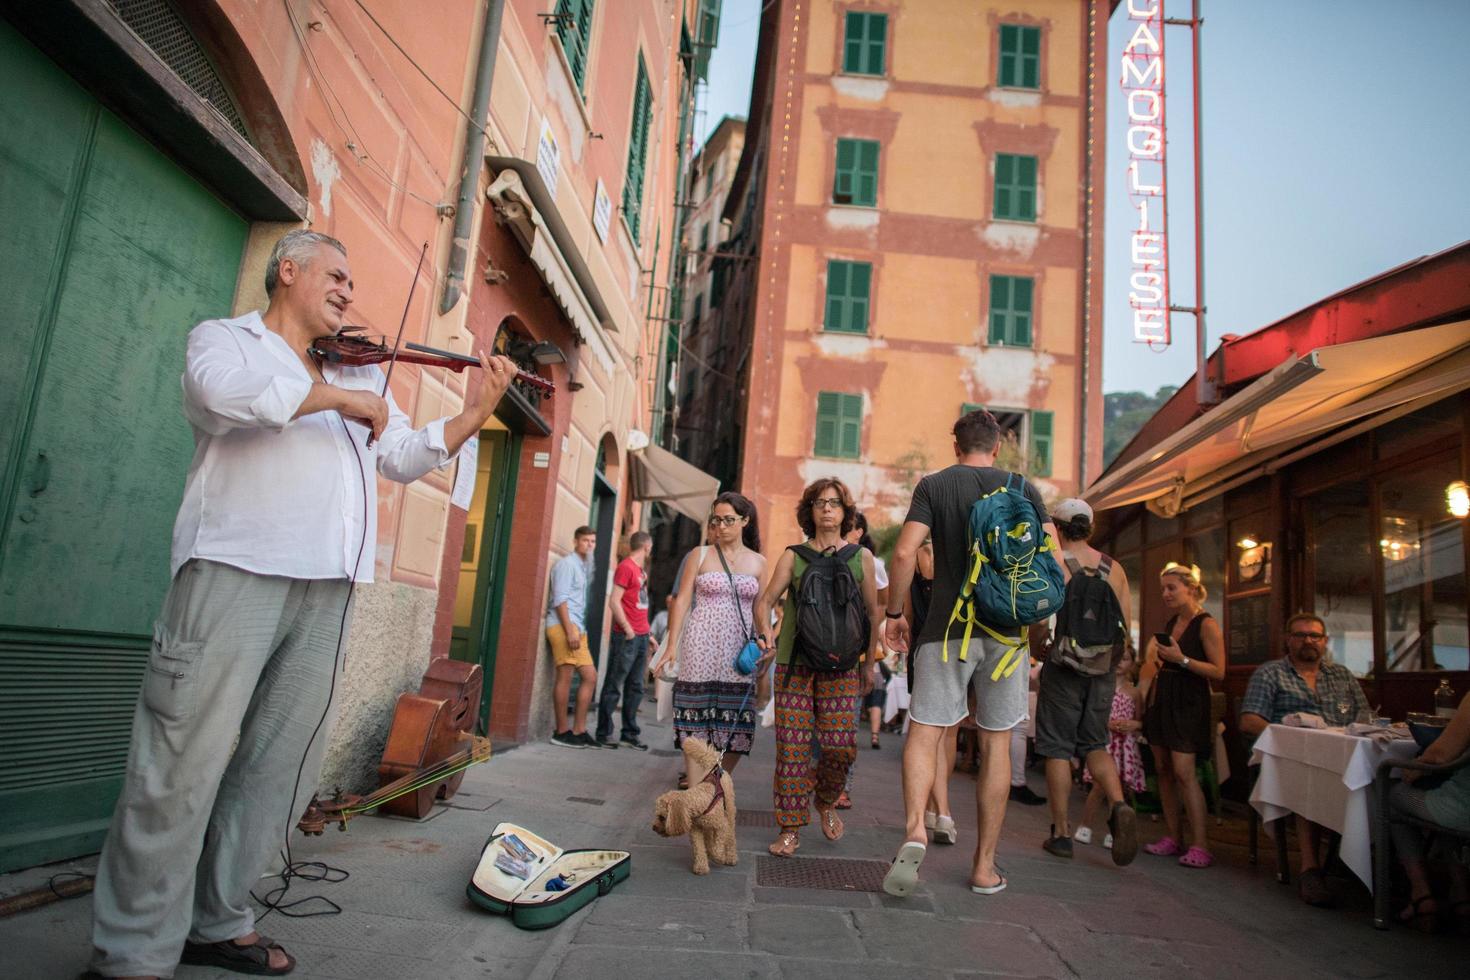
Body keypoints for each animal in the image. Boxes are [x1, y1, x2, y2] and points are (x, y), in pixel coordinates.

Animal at [652, 734, 735, 875]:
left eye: (662, 817)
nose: (654, 827)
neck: (697, 802)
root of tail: (717, 768)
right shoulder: (696, 830)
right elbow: (699, 849)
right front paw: (701, 867)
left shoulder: (721, 826)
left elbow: (717, 845)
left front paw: (718, 857)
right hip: (708, 826)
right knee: (710, 837)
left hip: (729, 812)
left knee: (730, 836)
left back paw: (730, 857)